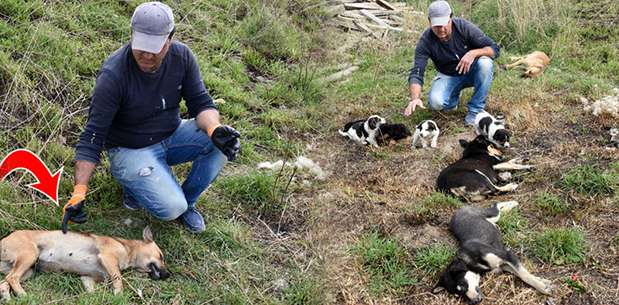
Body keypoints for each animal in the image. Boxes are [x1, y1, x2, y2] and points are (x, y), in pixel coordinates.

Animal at [0, 226, 168, 300]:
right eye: (161, 256)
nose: (168, 274)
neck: (128, 250)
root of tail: (3, 240)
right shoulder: (108, 258)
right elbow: (119, 279)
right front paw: (118, 296)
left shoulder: (88, 278)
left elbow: (93, 292)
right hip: (29, 255)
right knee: (12, 278)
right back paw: (24, 295)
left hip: (28, 270)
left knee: (5, 281)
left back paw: (8, 297)